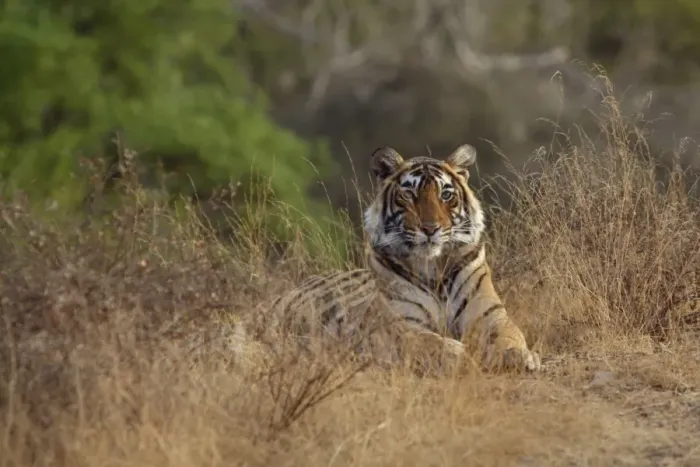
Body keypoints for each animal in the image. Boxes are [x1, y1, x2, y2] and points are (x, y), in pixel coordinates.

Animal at [263, 144, 541, 374]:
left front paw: (519, 357)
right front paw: (460, 356)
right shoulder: (402, 324)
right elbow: (431, 342)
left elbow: (510, 335)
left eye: (446, 195)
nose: (430, 228)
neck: (433, 267)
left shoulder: (488, 313)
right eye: (409, 195)